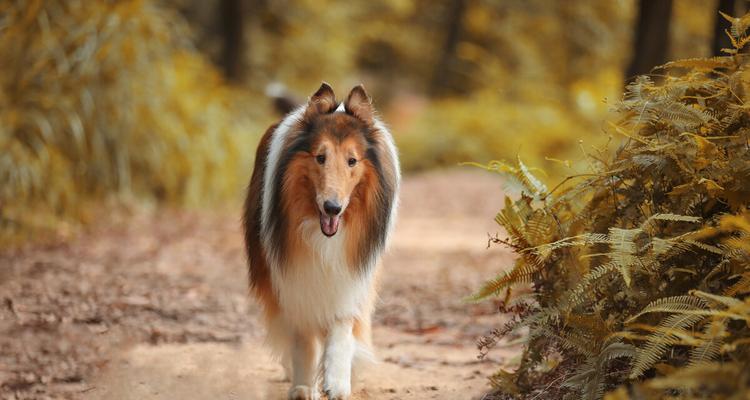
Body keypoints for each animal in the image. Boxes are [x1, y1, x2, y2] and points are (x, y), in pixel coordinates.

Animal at [244, 83, 402, 398]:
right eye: (320, 157)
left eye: (352, 160)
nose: (332, 208)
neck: (324, 235)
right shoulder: (294, 280)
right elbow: (303, 340)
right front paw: (304, 385)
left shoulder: (350, 278)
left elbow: (341, 326)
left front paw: (337, 381)